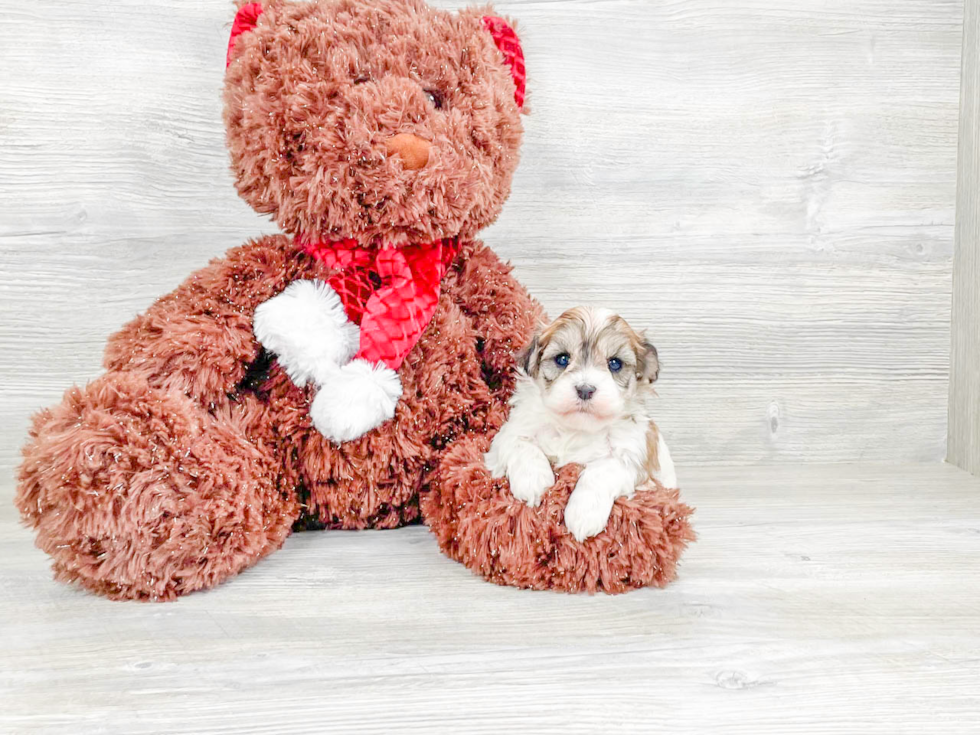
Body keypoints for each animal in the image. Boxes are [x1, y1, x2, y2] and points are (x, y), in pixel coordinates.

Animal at [486, 308, 676, 544]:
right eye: (562, 359)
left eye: (615, 363)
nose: (585, 389)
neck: (576, 429)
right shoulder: (511, 429)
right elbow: (521, 444)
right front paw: (534, 482)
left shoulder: (634, 456)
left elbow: (602, 470)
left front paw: (583, 514)